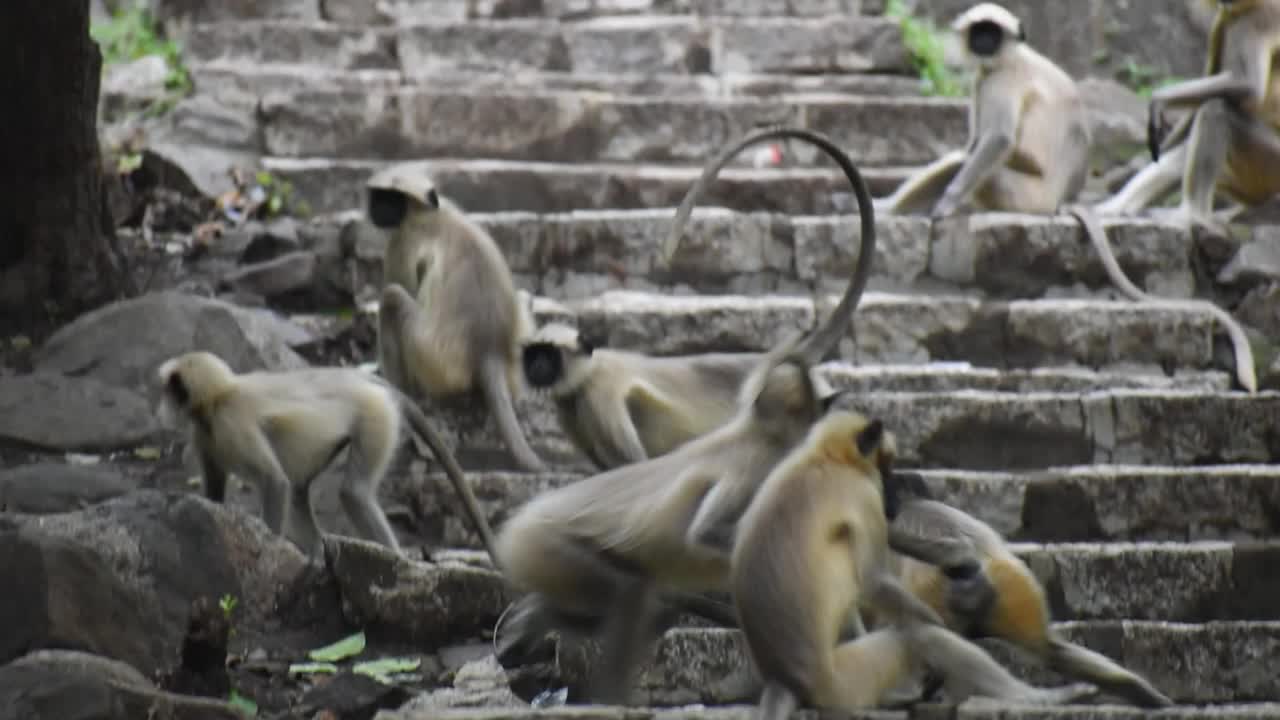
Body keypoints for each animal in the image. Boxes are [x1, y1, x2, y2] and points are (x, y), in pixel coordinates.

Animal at [371, 162, 550, 471]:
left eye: (393, 199)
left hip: (434, 359)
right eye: (380, 195)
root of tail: (490, 348)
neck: (430, 213)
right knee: (525, 296)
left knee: (392, 298)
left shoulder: (402, 241)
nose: (378, 208)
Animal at [517, 124, 870, 471]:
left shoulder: (598, 396)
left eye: (548, 356)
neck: (588, 370)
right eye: (534, 354)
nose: (536, 366)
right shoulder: (569, 406)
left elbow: (632, 464)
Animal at [727, 399, 1095, 712]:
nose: (889, 483)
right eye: (885, 463)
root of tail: (786, 679)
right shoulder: (861, 491)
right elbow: (875, 581)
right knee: (919, 635)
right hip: (844, 683)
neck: (823, 458)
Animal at [880, 2, 1090, 217]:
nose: (984, 40)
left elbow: (999, 138)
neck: (1013, 56)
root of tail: (1056, 203)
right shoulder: (982, 79)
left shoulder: (1000, 78)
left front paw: (948, 201)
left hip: (1026, 198)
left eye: (993, 32)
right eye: (978, 30)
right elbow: (975, 143)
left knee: (964, 162)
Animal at [1095, 0, 1280, 234]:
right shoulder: (1226, 18)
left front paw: (1160, 99)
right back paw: (1112, 208)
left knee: (1216, 110)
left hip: (1271, 159)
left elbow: (1248, 87)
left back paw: (1192, 215)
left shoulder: (1253, 19)